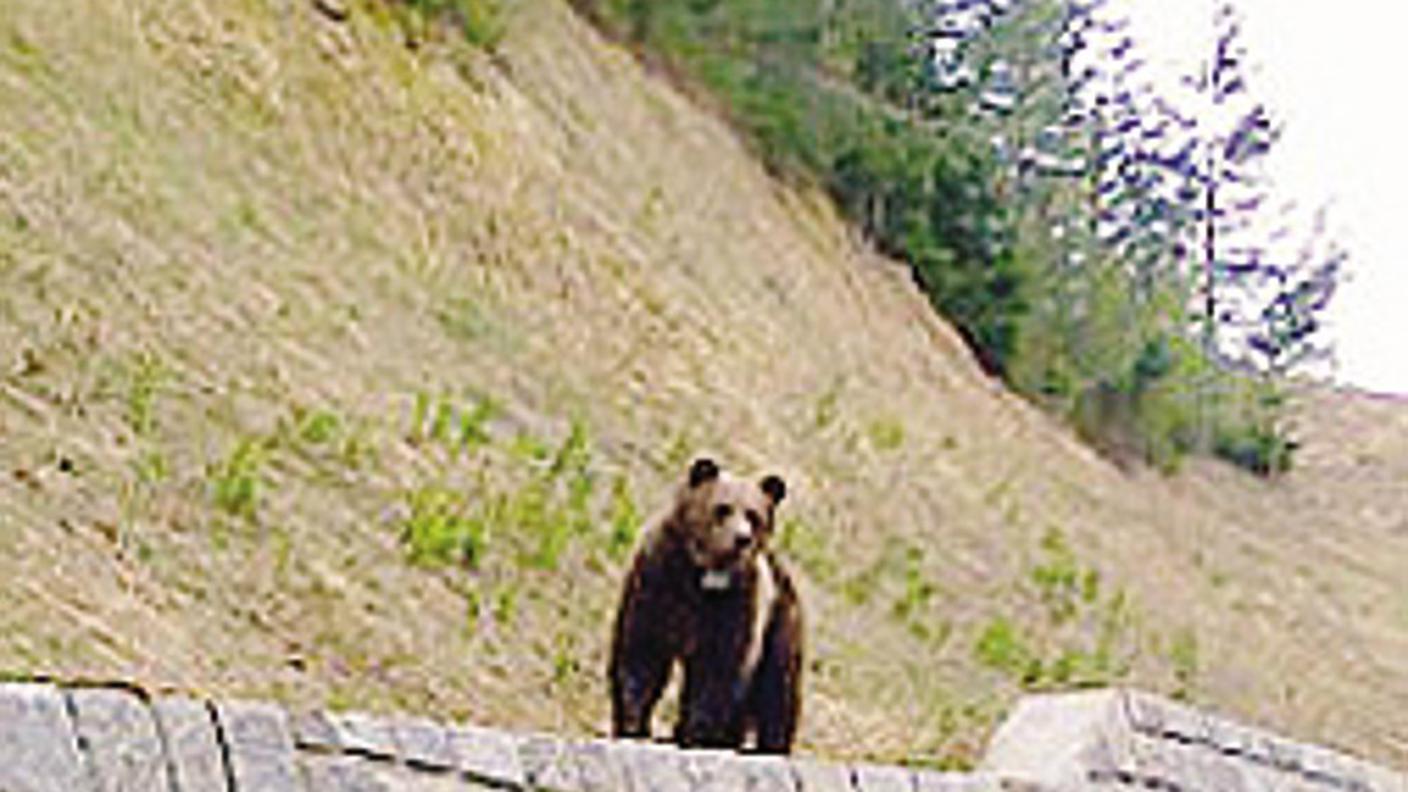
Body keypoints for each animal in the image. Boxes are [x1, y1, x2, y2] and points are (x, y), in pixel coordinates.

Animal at [608, 457, 804, 754]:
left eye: (754, 515)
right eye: (723, 508)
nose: (742, 539)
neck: (704, 576)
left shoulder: (737, 606)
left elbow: (719, 672)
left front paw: (696, 734)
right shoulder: (656, 581)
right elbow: (641, 651)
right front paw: (633, 725)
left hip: (780, 622)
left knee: (778, 688)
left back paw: (769, 746)